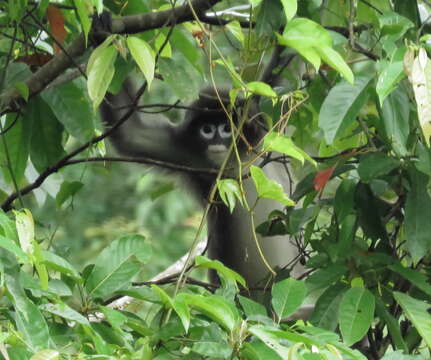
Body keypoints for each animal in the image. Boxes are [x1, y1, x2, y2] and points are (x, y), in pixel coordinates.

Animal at [100, 80, 306, 292]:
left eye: (226, 127)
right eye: (206, 129)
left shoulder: (266, 133)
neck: (235, 160)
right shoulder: (185, 151)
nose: (216, 141)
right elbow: (132, 133)